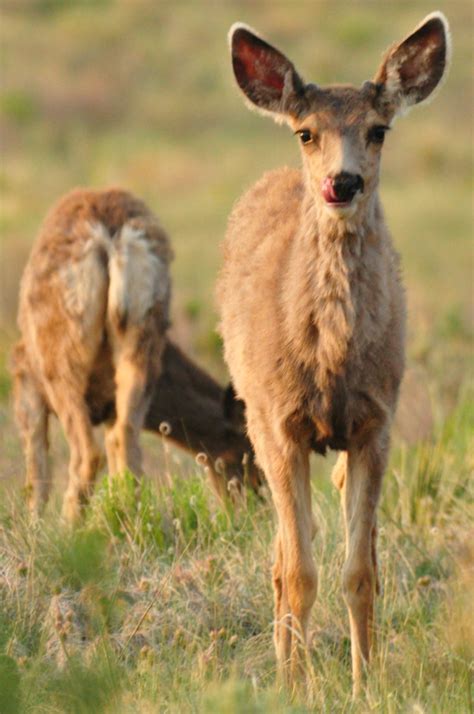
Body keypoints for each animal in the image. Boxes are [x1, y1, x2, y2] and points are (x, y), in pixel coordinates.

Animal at [12, 186, 260, 520]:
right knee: (125, 439)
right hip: (142, 333)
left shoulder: (24, 375)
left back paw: (71, 528)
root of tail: (112, 236)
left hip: (60, 358)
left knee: (88, 453)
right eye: (247, 451)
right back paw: (126, 515)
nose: (256, 508)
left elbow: (35, 471)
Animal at [217, 12, 450, 688]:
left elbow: (360, 573)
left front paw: (365, 682)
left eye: (378, 130)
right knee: (279, 558)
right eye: (306, 132)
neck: (330, 363)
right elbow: (298, 573)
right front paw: (295, 686)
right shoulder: (278, 422)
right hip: (254, 414)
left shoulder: (377, 422)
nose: (341, 182)